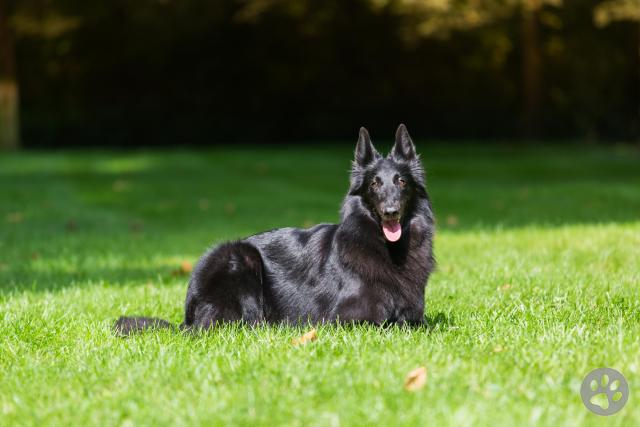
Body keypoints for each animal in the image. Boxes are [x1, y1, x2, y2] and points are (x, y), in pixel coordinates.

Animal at [115, 125, 436, 336]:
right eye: (374, 184)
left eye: (401, 182)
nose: (391, 212)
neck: (389, 249)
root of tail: (188, 317)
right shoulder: (348, 319)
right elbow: (394, 326)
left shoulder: (414, 316)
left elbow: (424, 324)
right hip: (237, 256)